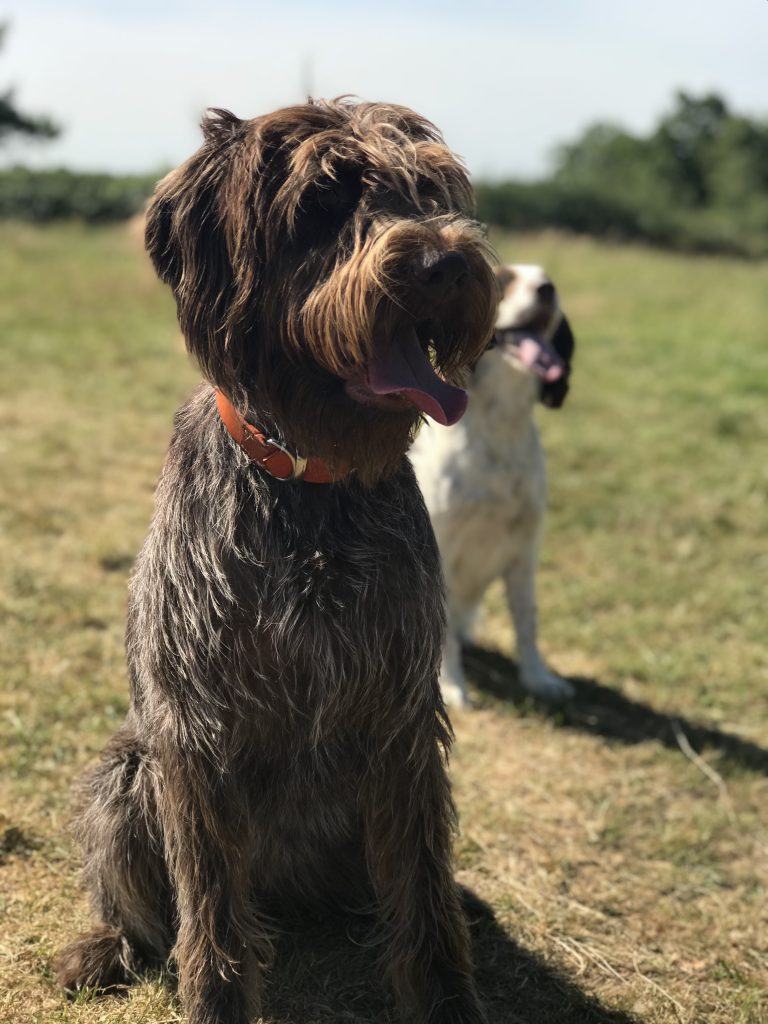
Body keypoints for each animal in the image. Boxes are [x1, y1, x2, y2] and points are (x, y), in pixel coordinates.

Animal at [55, 97, 499, 1024]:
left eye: (430, 190)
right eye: (324, 203)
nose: (445, 264)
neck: (311, 485)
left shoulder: (403, 721)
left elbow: (424, 891)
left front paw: (447, 995)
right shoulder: (195, 734)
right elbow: (212, 916)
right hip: (125, 775)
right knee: (147, 913)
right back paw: (106, 947)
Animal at [411, 264, 573, 708]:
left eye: (546, 279)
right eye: (505, 282)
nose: (547, 289)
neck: (500, 428)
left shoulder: (524, 548)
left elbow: (527, 621)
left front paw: (537, 678)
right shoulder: (443, 550)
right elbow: (444, 634)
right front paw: (452, 686)